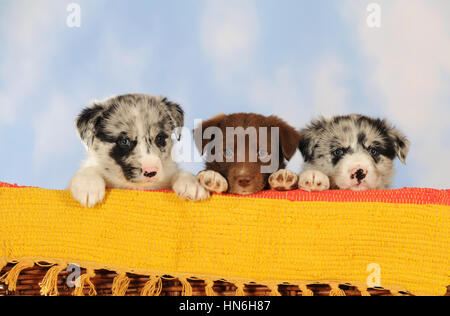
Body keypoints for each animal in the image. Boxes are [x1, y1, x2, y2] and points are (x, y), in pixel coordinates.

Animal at [69, 94, 210, 207]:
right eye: (124, 141)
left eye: (159, 138)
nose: (151, 172)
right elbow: (89, 170)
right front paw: (88, 185)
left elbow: (177, 174)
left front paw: (192, 184)